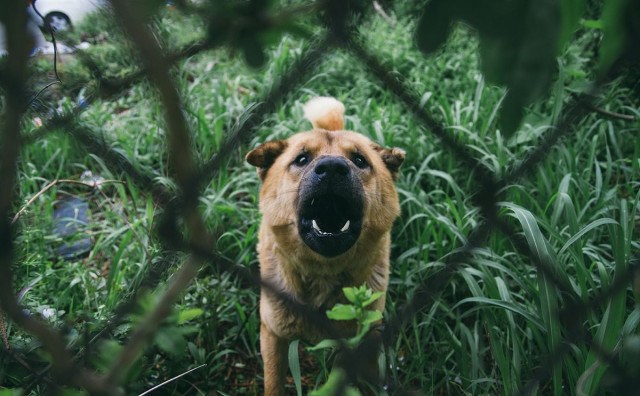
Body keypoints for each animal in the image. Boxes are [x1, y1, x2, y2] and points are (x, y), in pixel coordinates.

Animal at [246, 96, 404, 396]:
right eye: (302, 159)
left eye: (359, 160)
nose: (332, 167)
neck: (322, 274)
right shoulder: (272, 334)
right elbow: (273, 382)